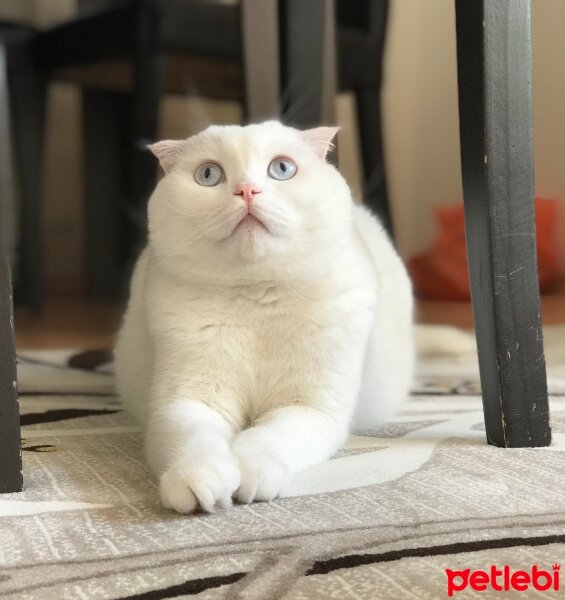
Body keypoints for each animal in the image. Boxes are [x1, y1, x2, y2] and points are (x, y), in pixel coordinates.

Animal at [115, 119, 414, 512]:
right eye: (208, 175)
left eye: (282, 169)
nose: (246, 190)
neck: (257, 300)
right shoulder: (186, 403)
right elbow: (194, 440)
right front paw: (201, 483)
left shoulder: (311, 409)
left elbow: (268, 438)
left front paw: (251, 475)